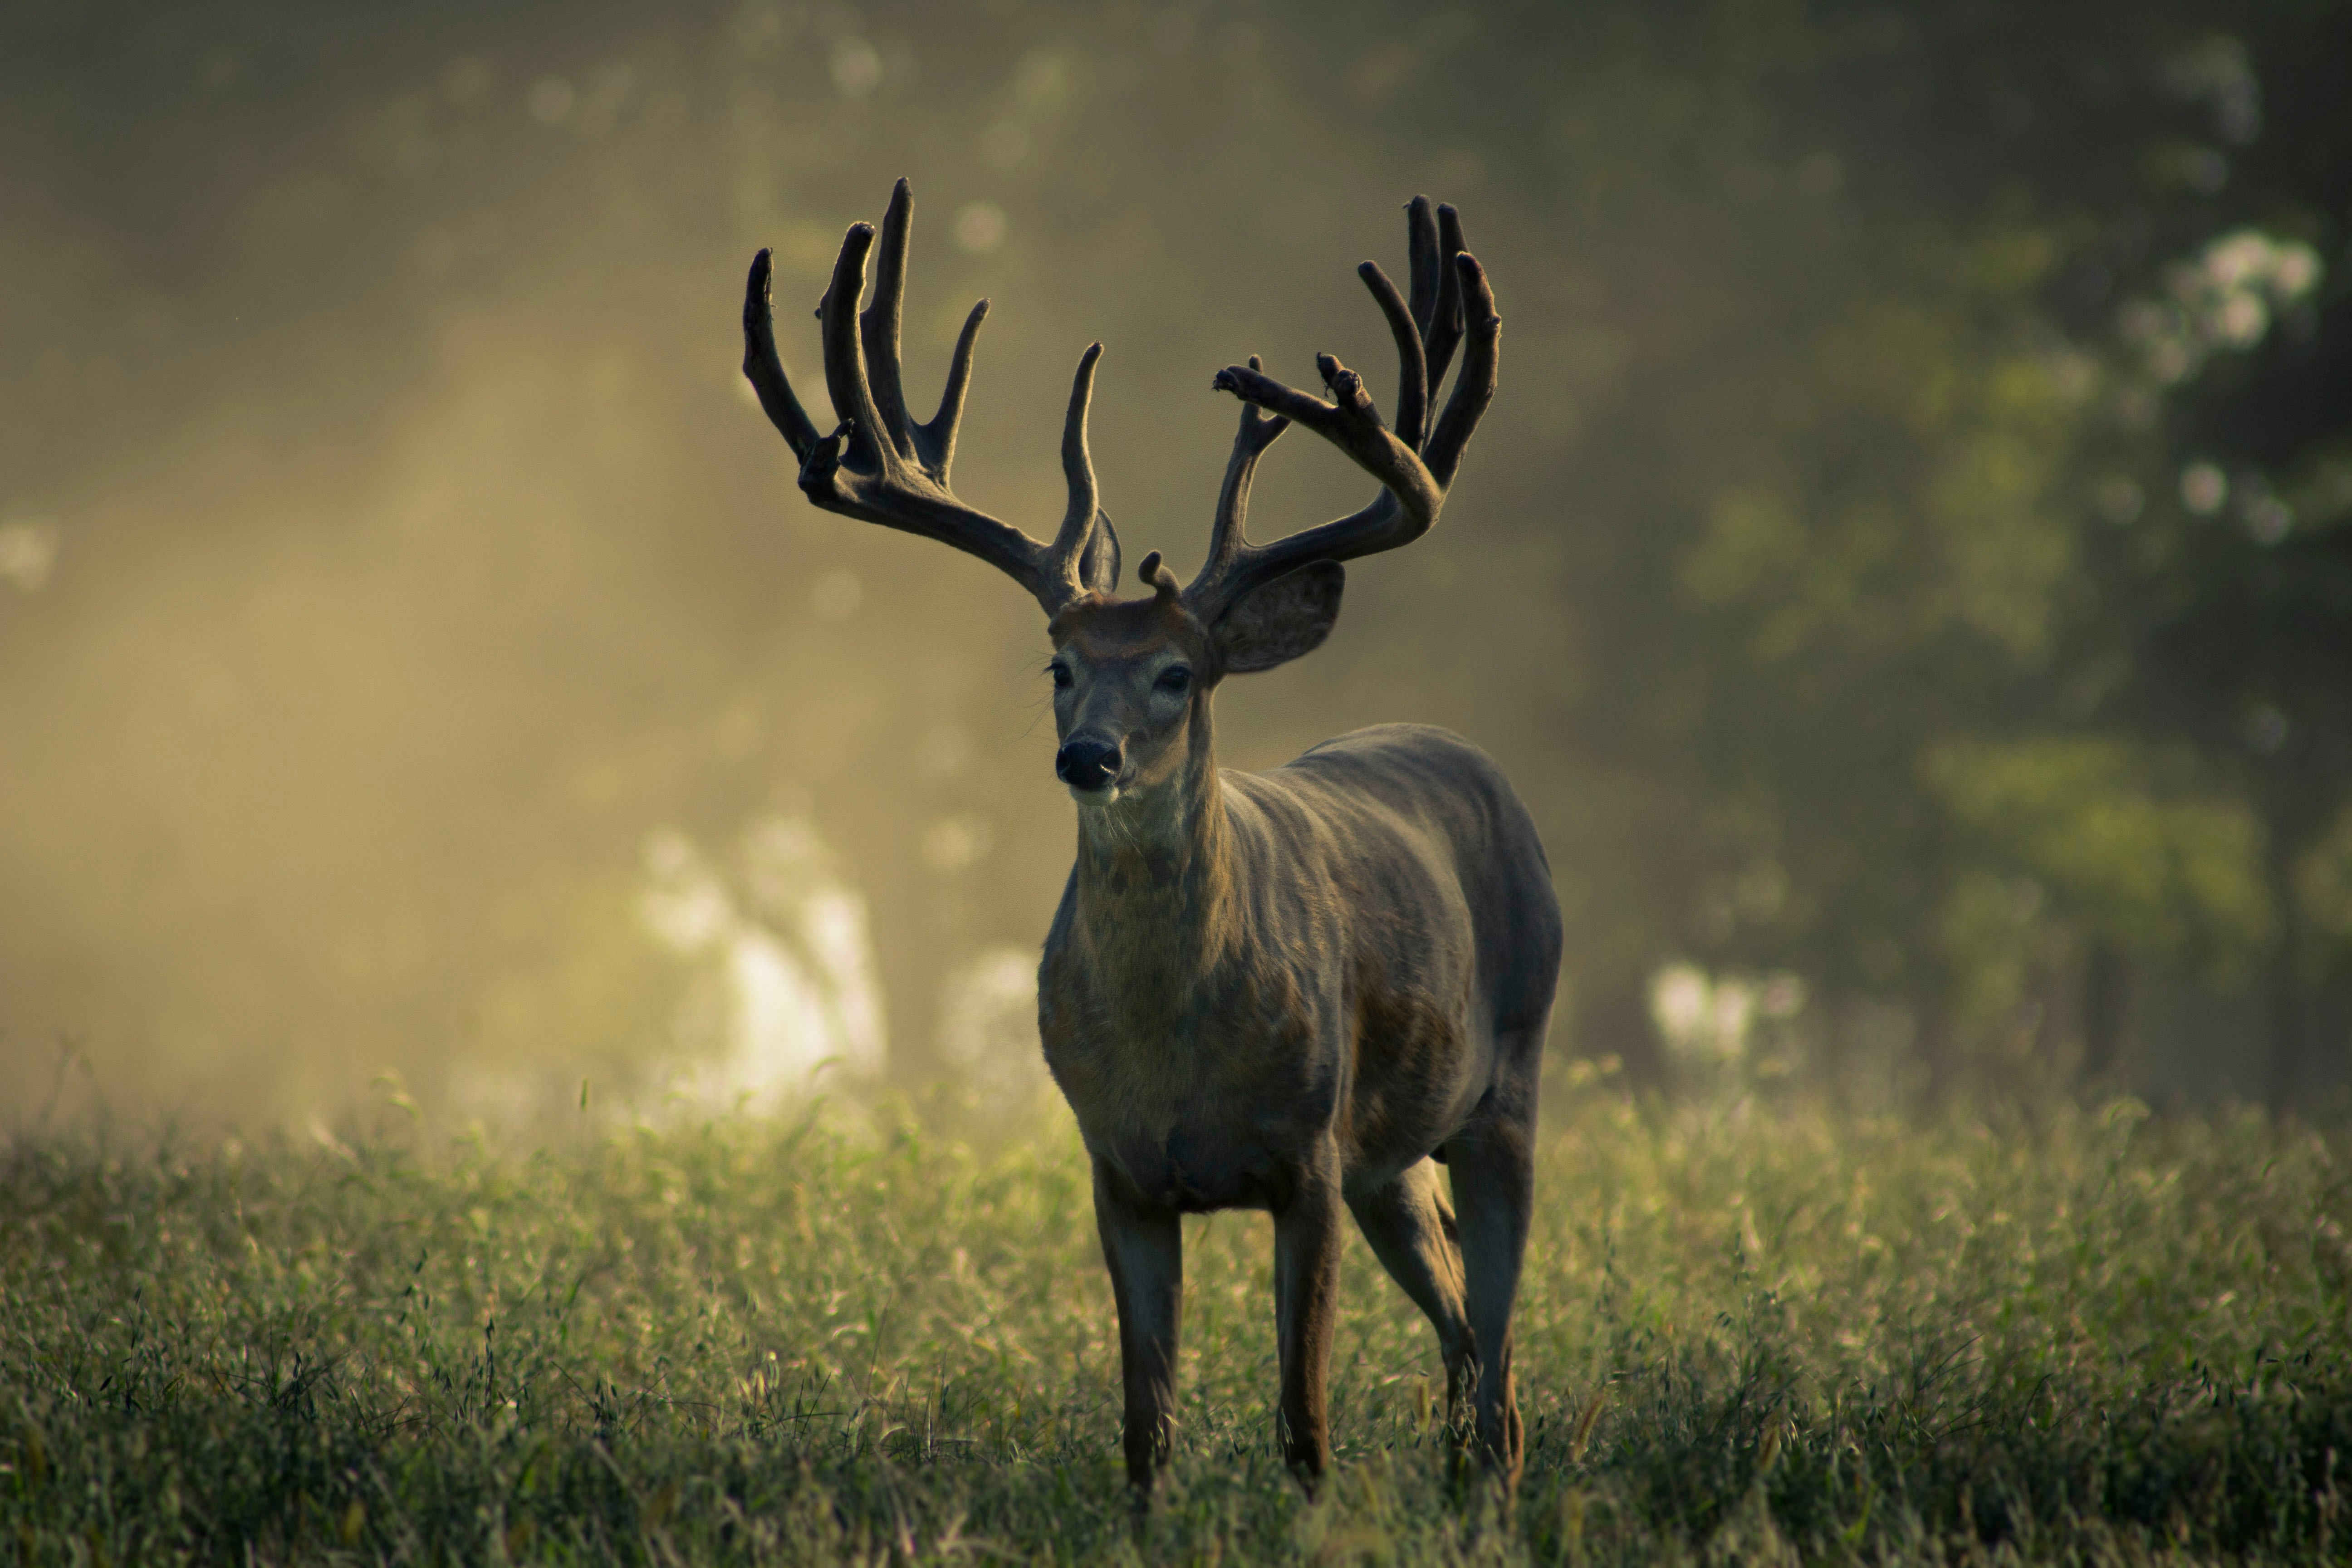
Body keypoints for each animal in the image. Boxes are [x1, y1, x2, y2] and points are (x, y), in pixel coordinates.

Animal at [743, 181, 1562, 1495]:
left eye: (1181, 673)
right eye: (1059, 667)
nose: (1089, 756)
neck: (1177, 1056)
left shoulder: (1308, 1155)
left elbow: (1302, 1419)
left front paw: (1311, 1512)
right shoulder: (1118, 1169)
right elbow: (1144, 1423)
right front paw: (1147, 1511)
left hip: (1507, 1085)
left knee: (1498, 1339)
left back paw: (1489, 1485)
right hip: (1392, 1160)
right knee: (1460, 1323)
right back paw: (1455, 1479)